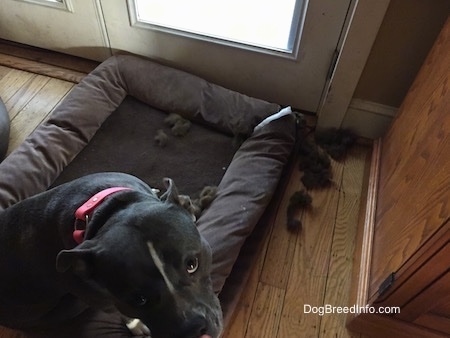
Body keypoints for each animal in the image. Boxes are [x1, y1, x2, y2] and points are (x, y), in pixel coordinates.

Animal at [0, 173, 223, 338]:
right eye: (139, 299)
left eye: (192, 264)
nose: (193, 329)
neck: (104, 210)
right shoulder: (101, 297)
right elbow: (118, 310)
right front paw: (136, 324)